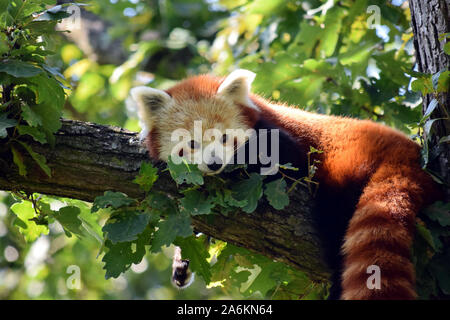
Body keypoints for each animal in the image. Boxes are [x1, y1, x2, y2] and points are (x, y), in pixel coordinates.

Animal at [129, 69, 440, 298]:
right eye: (191, 143)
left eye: (225, 138)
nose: (215, 163)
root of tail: (406, 149)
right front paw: (182, 261)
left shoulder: (280, 139)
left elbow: (284, 162)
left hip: (349, 172)